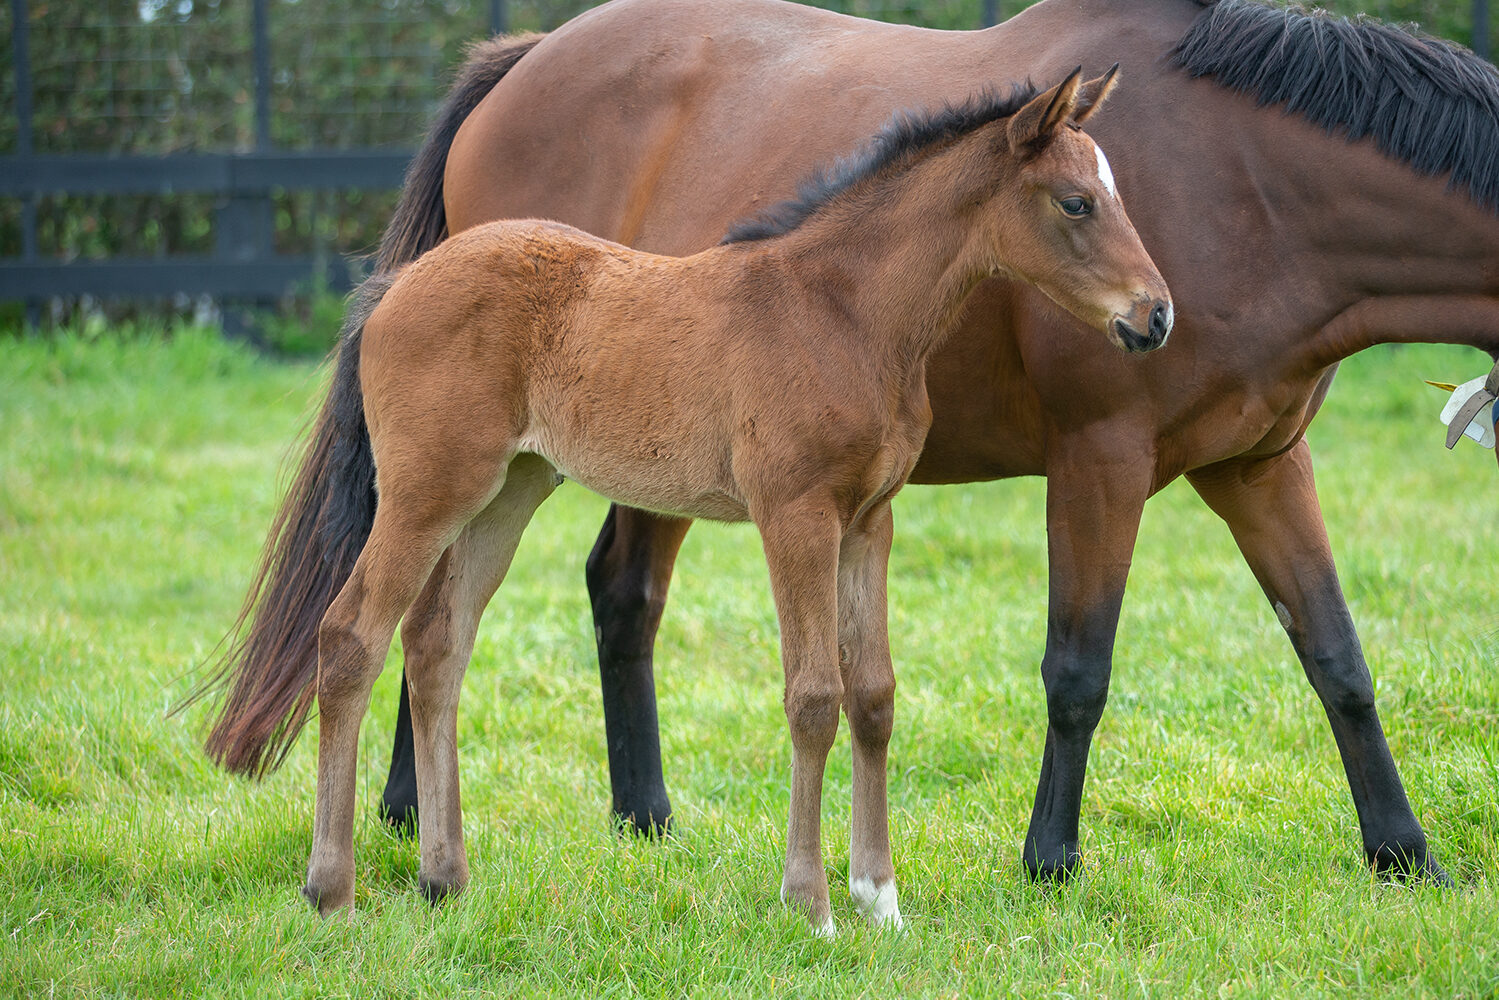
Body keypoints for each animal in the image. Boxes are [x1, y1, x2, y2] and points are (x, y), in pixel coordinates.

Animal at [202, 72, 1169, 929]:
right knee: (350, 636)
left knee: (438, 641)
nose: (1154, 317)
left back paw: (445, 880)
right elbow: (813, 696)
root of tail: (393, 285)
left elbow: (874, 696)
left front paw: (881, 902)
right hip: (427, 489)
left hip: (509, 491)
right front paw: (810, 905)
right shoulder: (795, 514)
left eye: (1116, 193)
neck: (842, 311)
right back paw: (331, 891)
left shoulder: (870, 521)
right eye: (1075, 203)